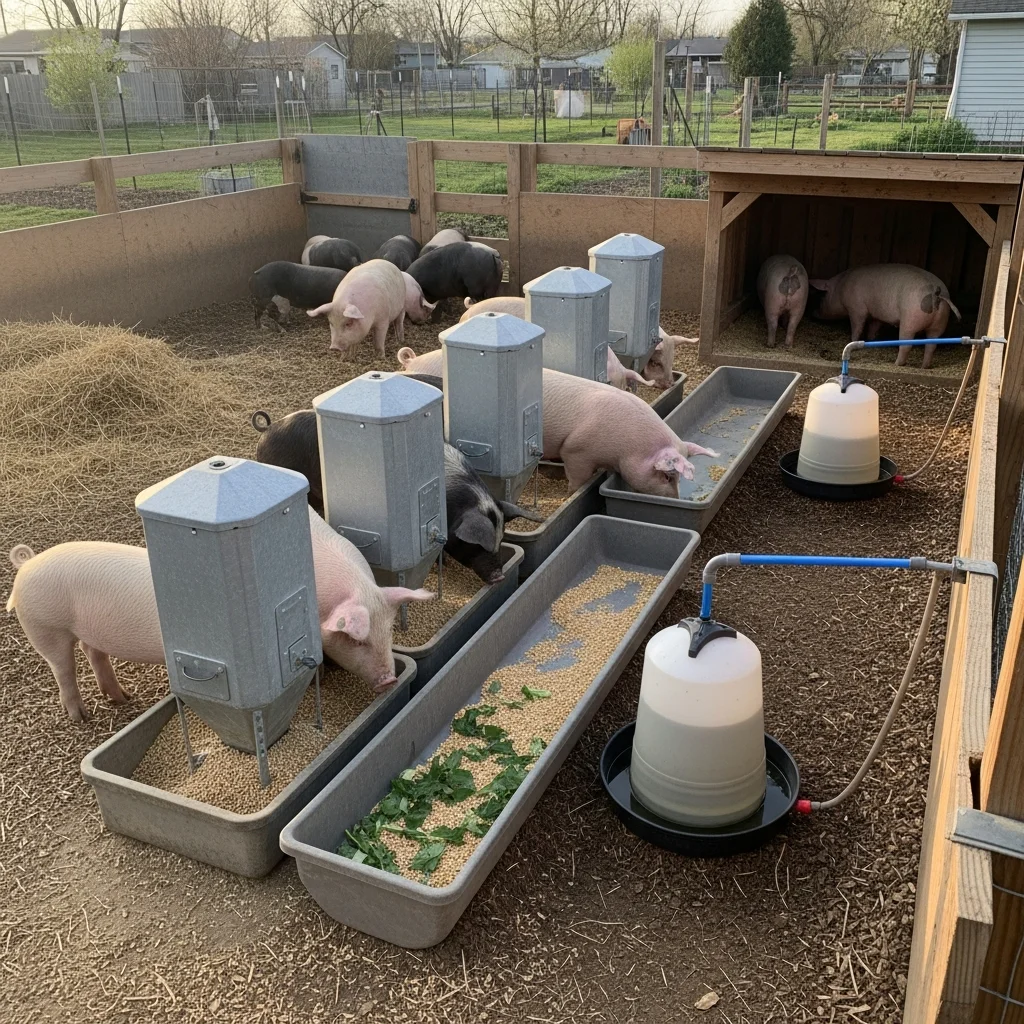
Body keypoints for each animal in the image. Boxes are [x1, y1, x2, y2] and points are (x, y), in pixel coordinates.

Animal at [5, 542, 163, 722]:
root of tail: (27, 563)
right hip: (45, 629)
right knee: (63, 670)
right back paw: (81, 717)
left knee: (91, 652)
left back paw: (123, 698)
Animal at [397, 349, 717, 497]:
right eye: (668, 476)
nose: (676, 497)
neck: (626, 447)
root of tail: (412, 363)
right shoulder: (577, 449)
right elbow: (576, 478)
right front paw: (571, 493)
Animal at [809, 264, 962, 369]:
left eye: (822, 298)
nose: (813, 313)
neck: (840, 288)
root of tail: (936, 294)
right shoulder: (877, 315)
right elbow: (873, 327)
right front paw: (871, 339)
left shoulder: (856, 308)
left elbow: (858, 326)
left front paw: (852, 340)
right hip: (939, 323)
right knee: (931, 346)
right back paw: (924, 367)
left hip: (910, 319)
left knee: (907, 345)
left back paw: (897, 364)